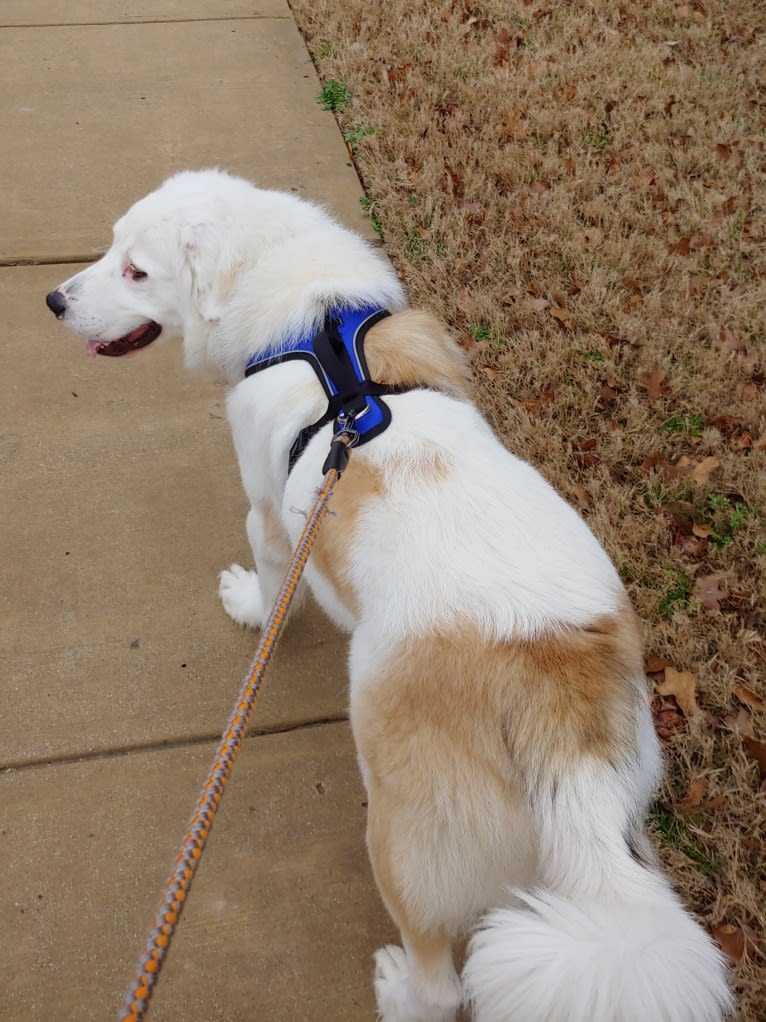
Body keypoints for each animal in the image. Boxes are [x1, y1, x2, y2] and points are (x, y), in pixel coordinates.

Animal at [46, 169, 731, 1021]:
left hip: (406, 843)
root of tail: (552, 703)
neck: (309, 320)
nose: (54, 299)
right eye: (109, 247)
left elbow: (270, 587)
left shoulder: (268, 517)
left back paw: (398, 987)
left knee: (443, 983)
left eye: (137, 271)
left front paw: (251, 608)